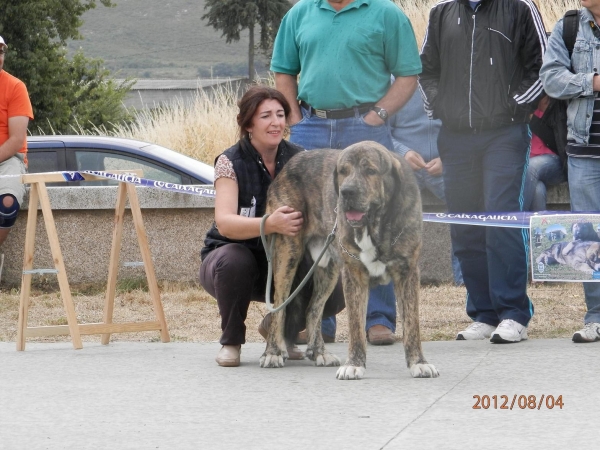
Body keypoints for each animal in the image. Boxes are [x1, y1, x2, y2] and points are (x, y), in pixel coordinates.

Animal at [260, 141, 438, 380]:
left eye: (370, 170)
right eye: (343, 171)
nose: (346, 192)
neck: (375, 227)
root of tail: (288, 166)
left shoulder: (407, 272)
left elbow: (412, 323)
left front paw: (418, 363)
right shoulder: (354, 275)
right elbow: (355, 325)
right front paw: (354, 364)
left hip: (327, 267)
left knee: (313, 309)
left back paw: (319, 352)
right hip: (287, 251)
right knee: (278, 307)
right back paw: (273, 352)